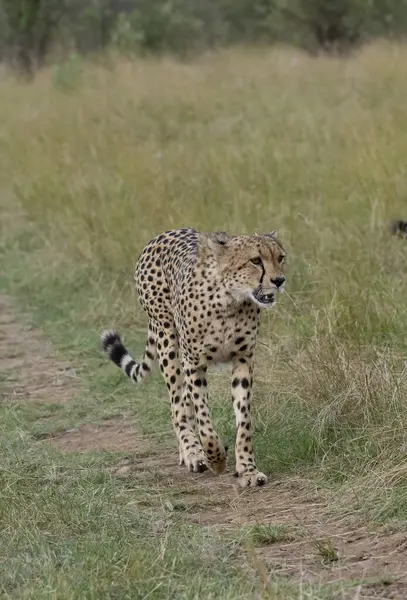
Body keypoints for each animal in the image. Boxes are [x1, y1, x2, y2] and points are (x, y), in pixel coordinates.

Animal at [102, 227, 286, 486]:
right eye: (256, 260)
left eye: (280, 258)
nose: (279, 281)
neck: (230, 301)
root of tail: (166, 233)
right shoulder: (194, 362)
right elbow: (204, 419)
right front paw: (215, 459)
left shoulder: (243, 359)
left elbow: (243, 420)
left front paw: (248, 470)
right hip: (167, 339)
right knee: (177, 405)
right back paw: (192, 452)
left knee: (183, 401)